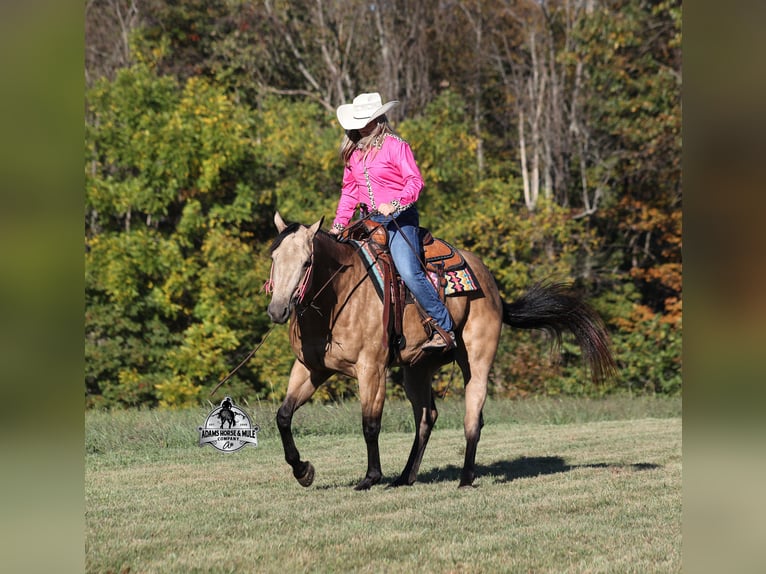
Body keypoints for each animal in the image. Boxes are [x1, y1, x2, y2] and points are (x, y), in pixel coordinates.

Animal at [266, 211, 616, 489]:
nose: (278, 310)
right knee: (427, 416)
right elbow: (283, 415)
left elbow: (370, 423)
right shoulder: (311, 368)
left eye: (307, 262)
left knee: (472, 416)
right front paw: (303, 471)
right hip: (416, 369)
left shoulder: (372, 369)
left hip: (476, 360)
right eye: (273, 258)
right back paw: (405, 477)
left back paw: (465, 478)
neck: (338, 297)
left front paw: (370, 477)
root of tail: (493, 287)